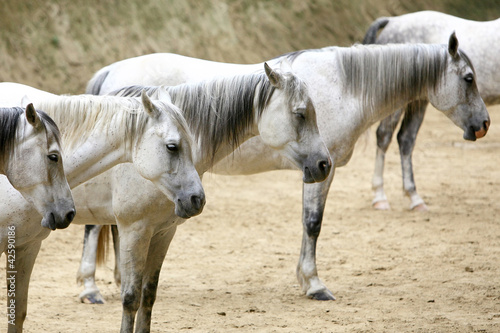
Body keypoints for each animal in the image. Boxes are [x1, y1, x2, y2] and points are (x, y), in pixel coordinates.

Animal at [76, 63, 330, 332]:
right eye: (300, 114)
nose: (324, 164)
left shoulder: (163, 232)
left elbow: (148, 296)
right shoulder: (135, 229)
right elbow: (131, 299)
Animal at [83, 33, 492, 306]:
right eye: (468, 79)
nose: (484, 124)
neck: (343, 84)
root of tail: (110, 73)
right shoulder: (321, 171)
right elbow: (313, 224)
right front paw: (314, 285)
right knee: (93, 225)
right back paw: (90, 289)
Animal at [364, 10, 500, 210]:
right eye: (469, 78)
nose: (485, 124)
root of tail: (393, 21)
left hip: (419, 101)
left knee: (406, 139)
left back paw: (414, 197)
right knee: (384, 136)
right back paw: (380, 196)